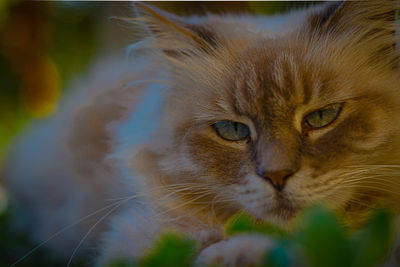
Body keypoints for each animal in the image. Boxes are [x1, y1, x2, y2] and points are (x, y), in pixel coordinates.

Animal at [3, 0, 400, 266]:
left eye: (321, 117)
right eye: (232, 130)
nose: (277, 176)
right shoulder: (139, 235)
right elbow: (204, 247)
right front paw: (242, 252)